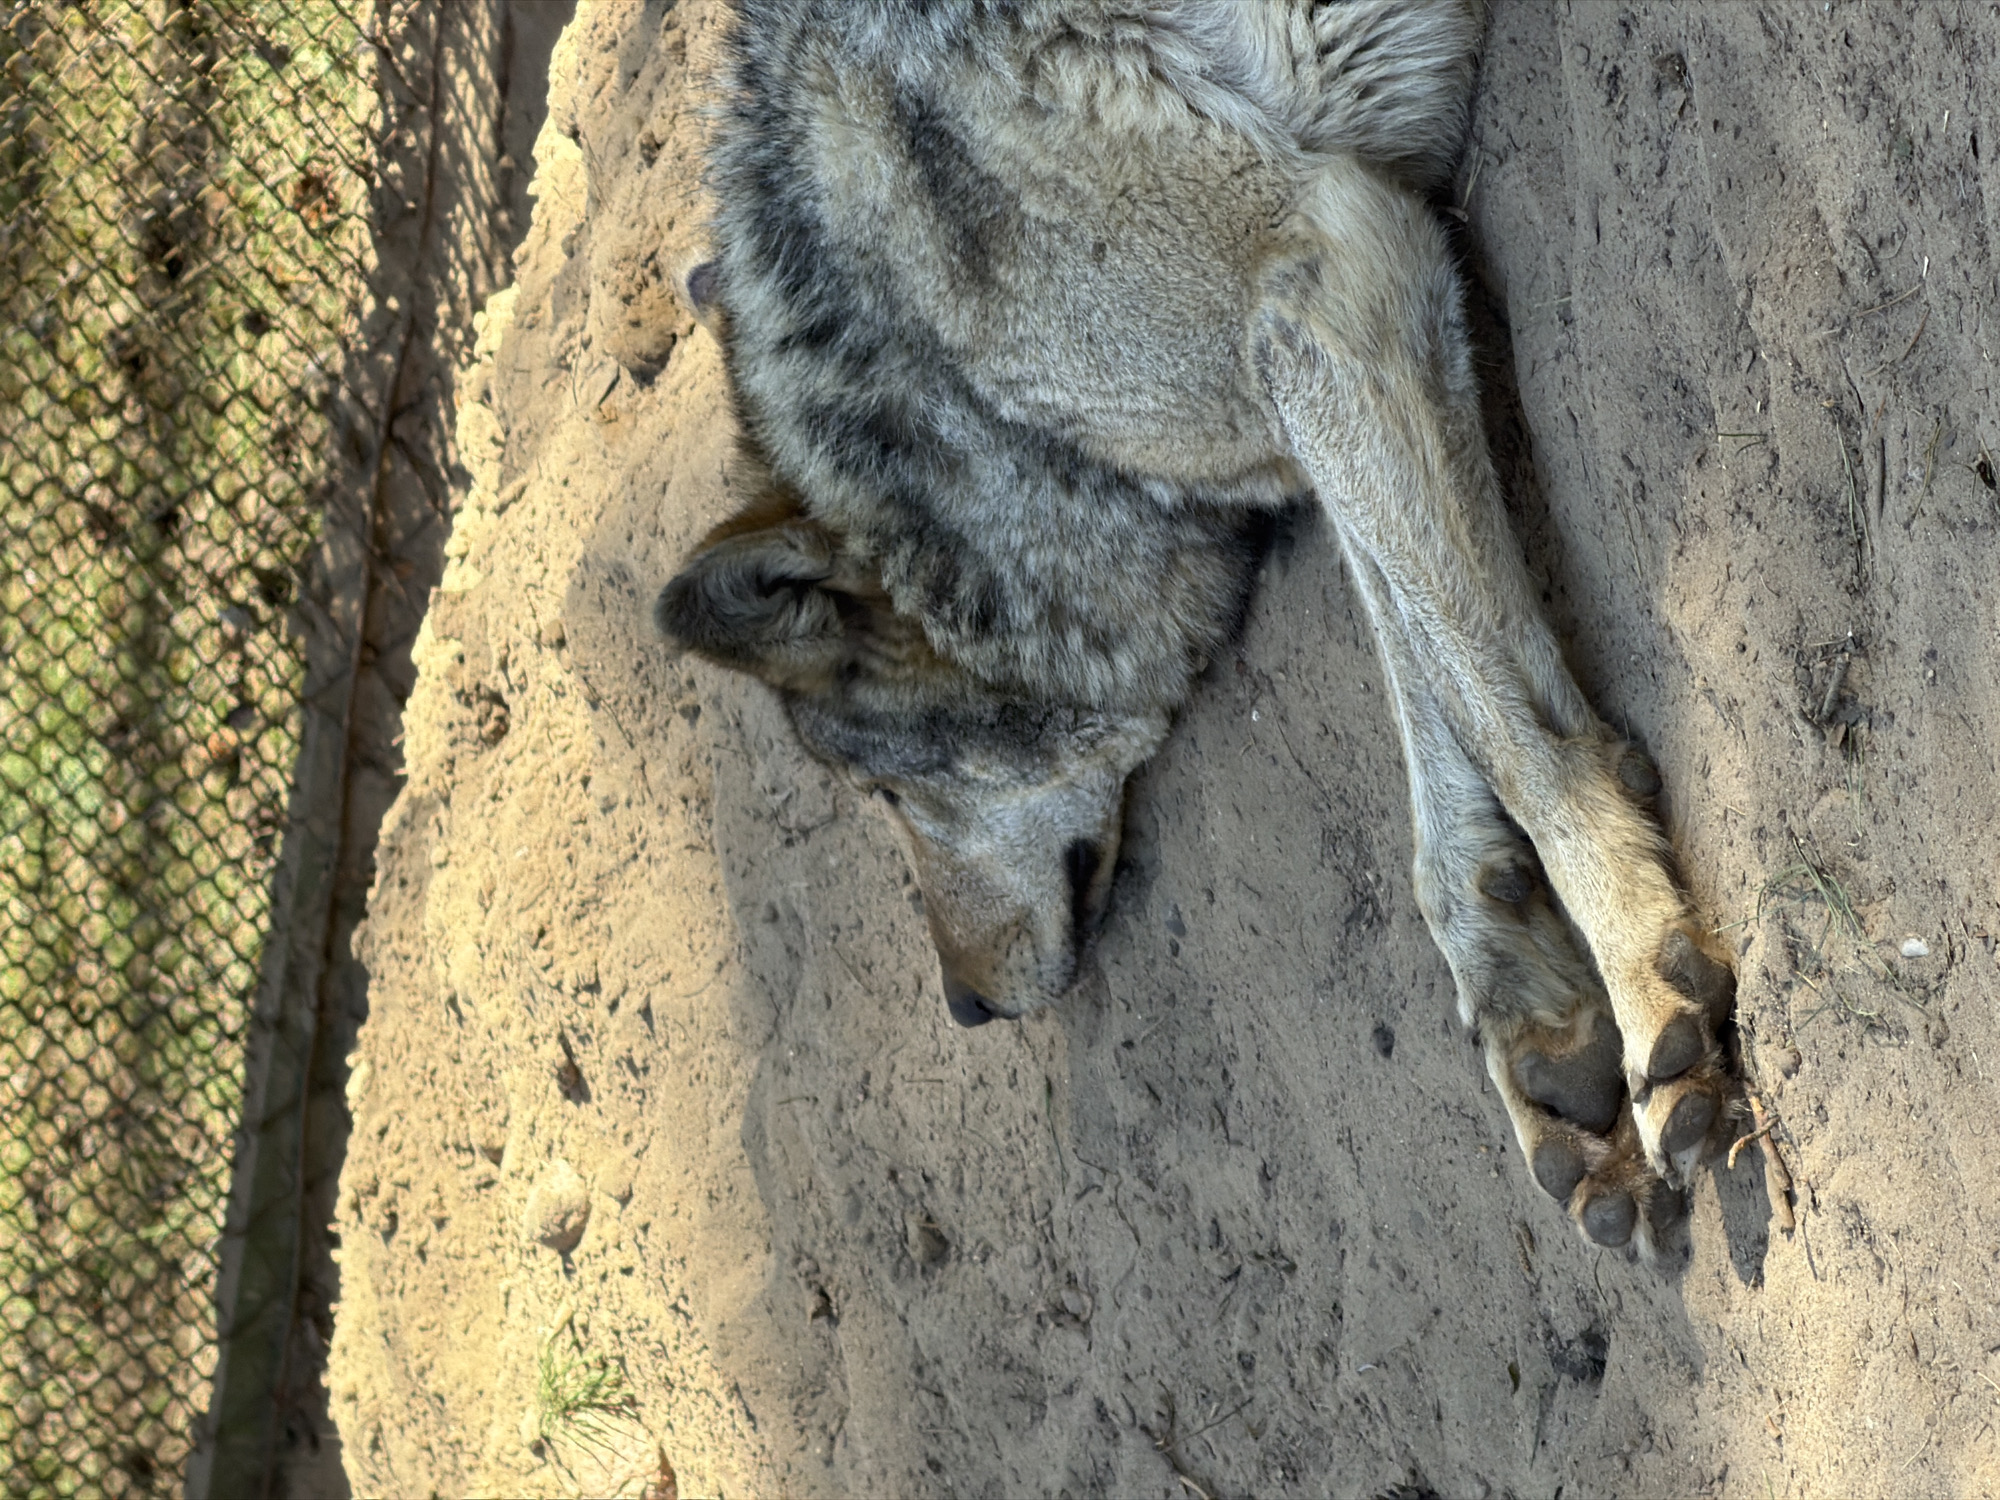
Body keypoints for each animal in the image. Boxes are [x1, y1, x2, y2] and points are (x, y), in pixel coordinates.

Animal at [656, 0, 1738, 1251]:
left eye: (881, 794)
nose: (964, 1009)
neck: (943, 378)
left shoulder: (1331, 274)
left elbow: (1517, 743)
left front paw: (1640, 977)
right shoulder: (1324, 331)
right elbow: (1429, 705)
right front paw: (1530, 1015)